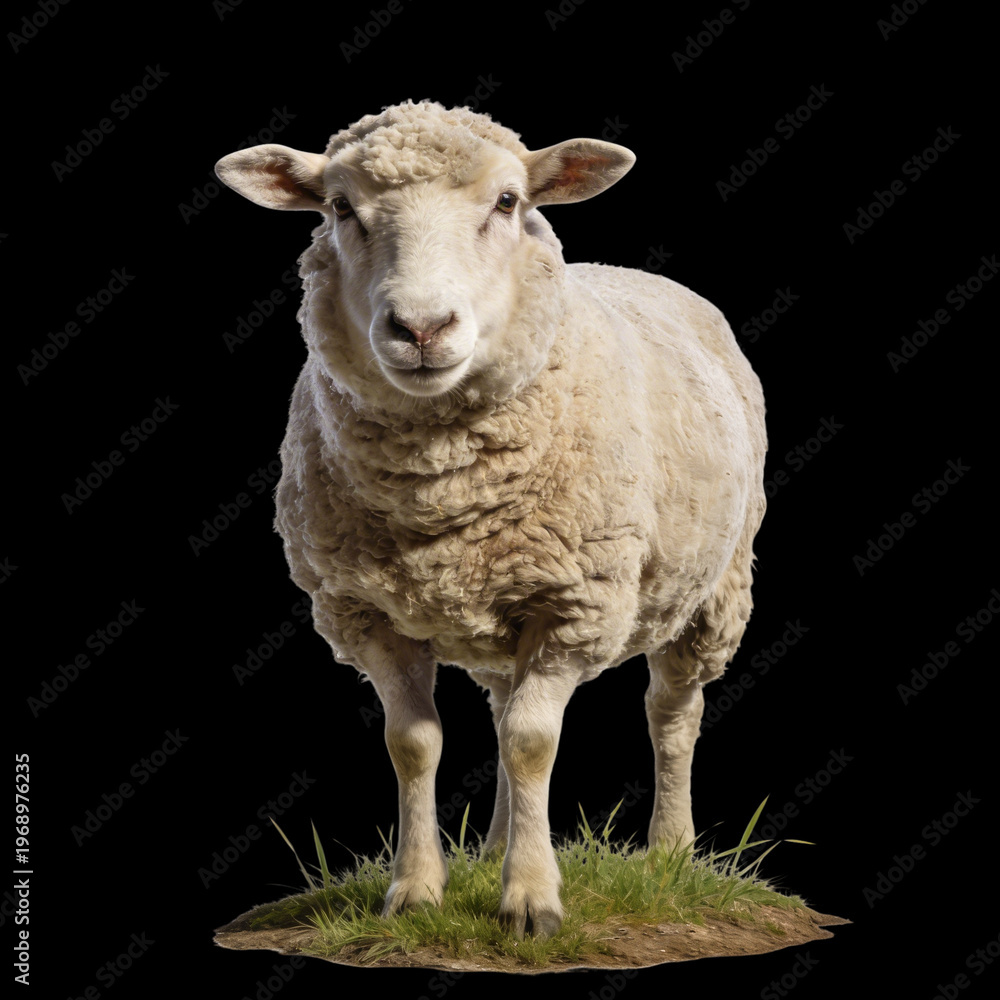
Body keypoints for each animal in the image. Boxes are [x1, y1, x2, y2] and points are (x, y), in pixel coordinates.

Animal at [215, 100, 767, 940]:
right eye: (339, 207)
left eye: (507, 202)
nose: (421, 328)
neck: (442, 490)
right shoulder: (364, 613)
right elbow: (414, 743)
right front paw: (417, 891)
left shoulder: (574, 604)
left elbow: (535, 743)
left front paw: (531, 900)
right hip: (500, 615)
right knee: (506, 706)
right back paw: (495, 845)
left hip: (714, 586)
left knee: (670, 711)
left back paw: (669, 855)